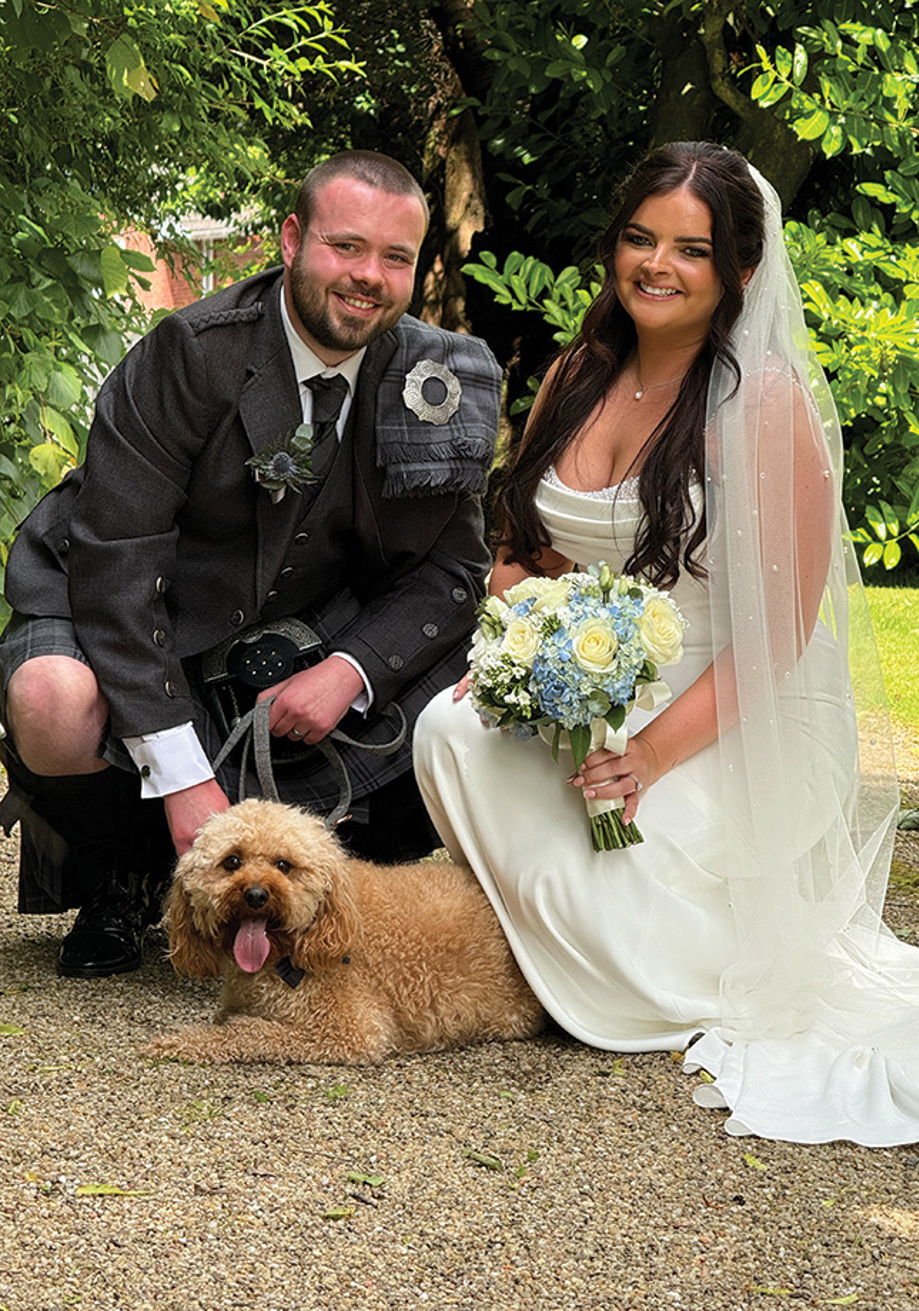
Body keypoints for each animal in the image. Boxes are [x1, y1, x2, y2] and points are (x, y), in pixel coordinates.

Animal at [146, 797, 540, 1064]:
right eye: (232, 861)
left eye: (284, 865)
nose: (256, 894)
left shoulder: (349, 1031)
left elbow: (250, 1030)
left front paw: (183, 1041)